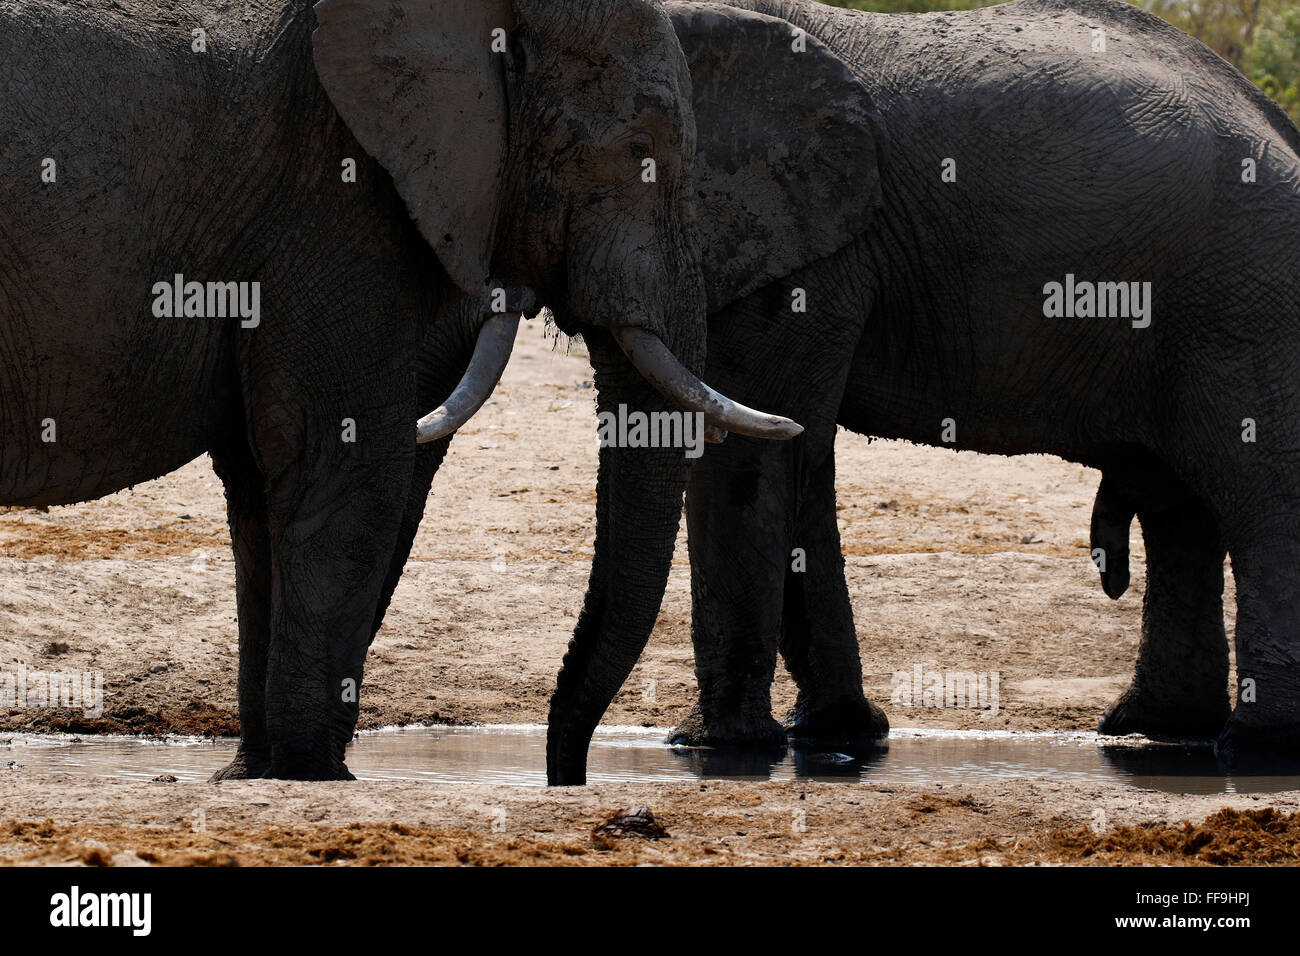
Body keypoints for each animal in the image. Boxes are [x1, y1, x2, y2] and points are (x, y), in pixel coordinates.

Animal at [0, 0, 800, 780]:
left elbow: (263, 480)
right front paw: (313, 777)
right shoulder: (334, 193)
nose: (565, 779)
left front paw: (254, 777)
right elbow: (346, 462)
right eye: (639, 150)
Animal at [543, 0, 1300, 785]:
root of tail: (1277, 123)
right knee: (1178, 500)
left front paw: (715, 749)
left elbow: (748, 460)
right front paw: (836, 735)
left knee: (1256, 492)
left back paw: (1257, 745)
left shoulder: (806, 254)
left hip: (1244, 299)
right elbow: (798, 451)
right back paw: (1156, 731)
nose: (569, 774)